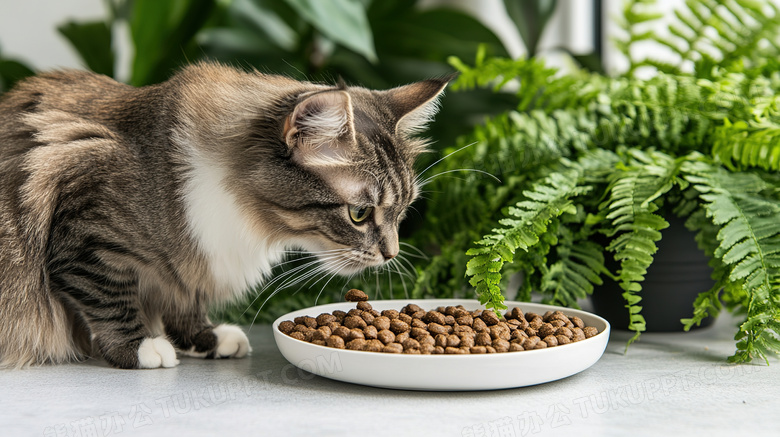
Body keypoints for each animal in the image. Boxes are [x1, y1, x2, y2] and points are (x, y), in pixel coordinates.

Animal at [0, 61, 450, 368]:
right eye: (359, 214)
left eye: (403, 210)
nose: (391, 254)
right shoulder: (85, 229)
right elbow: (111, 298)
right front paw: (140, 347)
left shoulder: (187, 263)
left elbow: (184, 300)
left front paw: (206, 339)